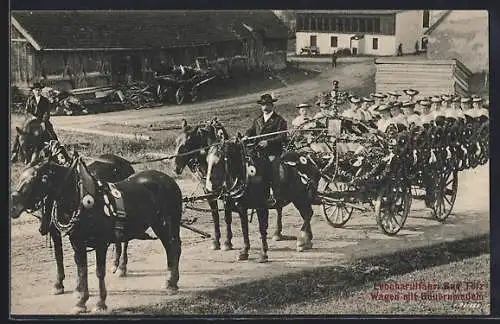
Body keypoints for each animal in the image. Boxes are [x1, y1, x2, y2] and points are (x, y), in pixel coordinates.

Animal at [11, 144, 184, 314]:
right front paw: (80, 302)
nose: (14, 204)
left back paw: (169, 282)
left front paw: (100, 303)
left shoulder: (101, 244)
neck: (83, 201)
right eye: (21, 176)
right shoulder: (78, 244)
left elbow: (99, 272)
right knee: (172, 247)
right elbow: (81, 269)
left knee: (171, 248)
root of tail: (169, 180)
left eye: (41, 178)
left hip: (164, 224)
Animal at [174, 119, 288, 253]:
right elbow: (216, 216)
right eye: (176, 142)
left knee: (279, 207)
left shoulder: (226, 195)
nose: (175, 167)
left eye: (187, 143)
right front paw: (217, 241)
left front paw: (227, 242)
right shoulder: (211, 194)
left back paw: (277, 233)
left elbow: (227, 218)